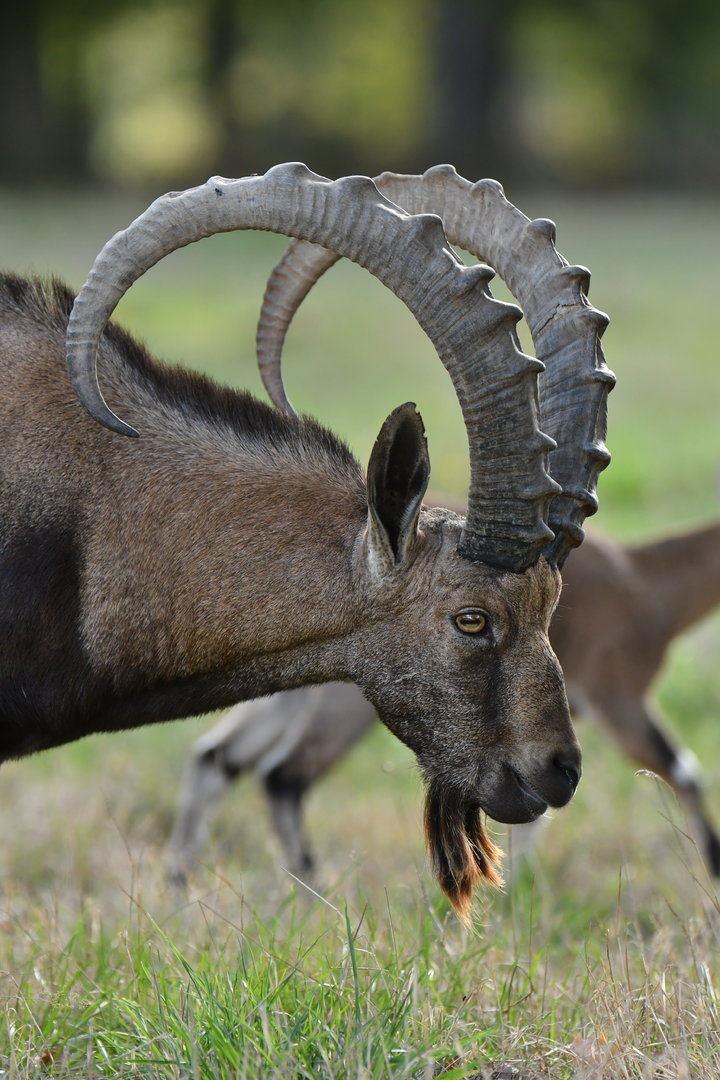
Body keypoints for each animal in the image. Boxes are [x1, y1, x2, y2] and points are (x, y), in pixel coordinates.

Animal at [167, 516, 720, 883]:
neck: (644, 580)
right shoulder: (619, 700)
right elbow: (685, 773)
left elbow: (537, 805)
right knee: (284, 776)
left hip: (283, 698)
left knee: (217, 758)